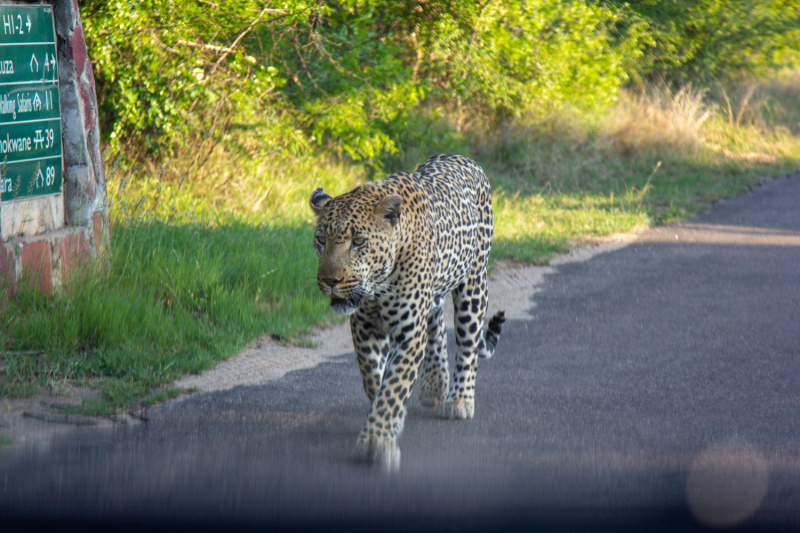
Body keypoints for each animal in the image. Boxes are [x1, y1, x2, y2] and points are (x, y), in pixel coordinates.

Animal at [308, 152, 504, 468]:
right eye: (321, 241)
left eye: (358, 242)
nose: (330, 281)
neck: (379, 283)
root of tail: (461, 156)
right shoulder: (365, 328)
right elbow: (374, 379)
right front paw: (388, 423)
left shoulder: (409, 333)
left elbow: (393, 387)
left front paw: (376, 441)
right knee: (436, 326)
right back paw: (434, 384)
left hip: (474, 285)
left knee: (468, 345)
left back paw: (459, 400)